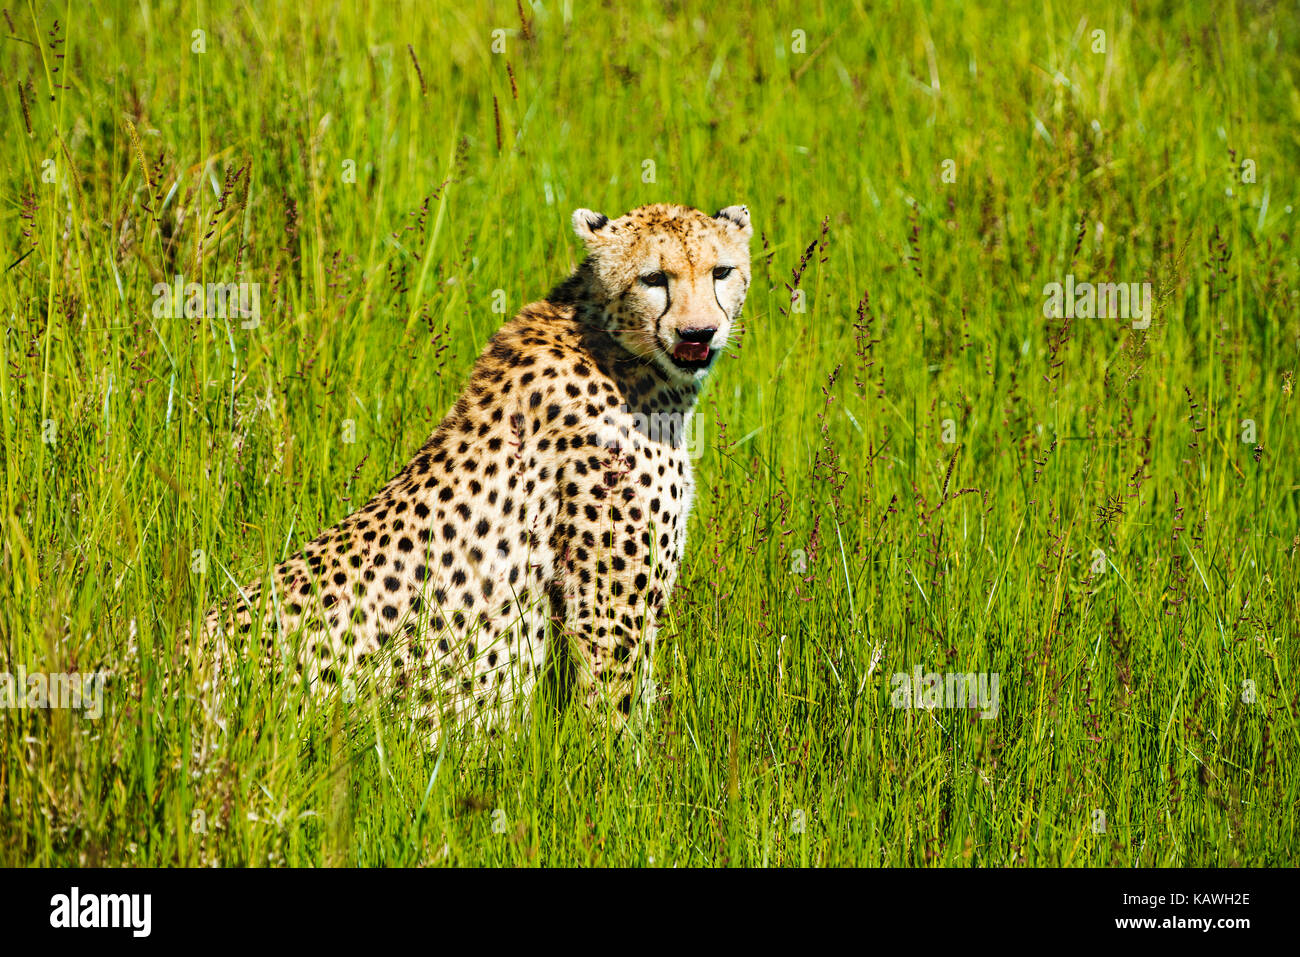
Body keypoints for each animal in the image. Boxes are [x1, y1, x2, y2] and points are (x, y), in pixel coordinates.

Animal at [202, 201, 754, 738]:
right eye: (653, 278)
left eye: (721, 272)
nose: (699, 334)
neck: (613, 344)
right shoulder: (610, 612)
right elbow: (615, 720)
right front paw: (624, 766)